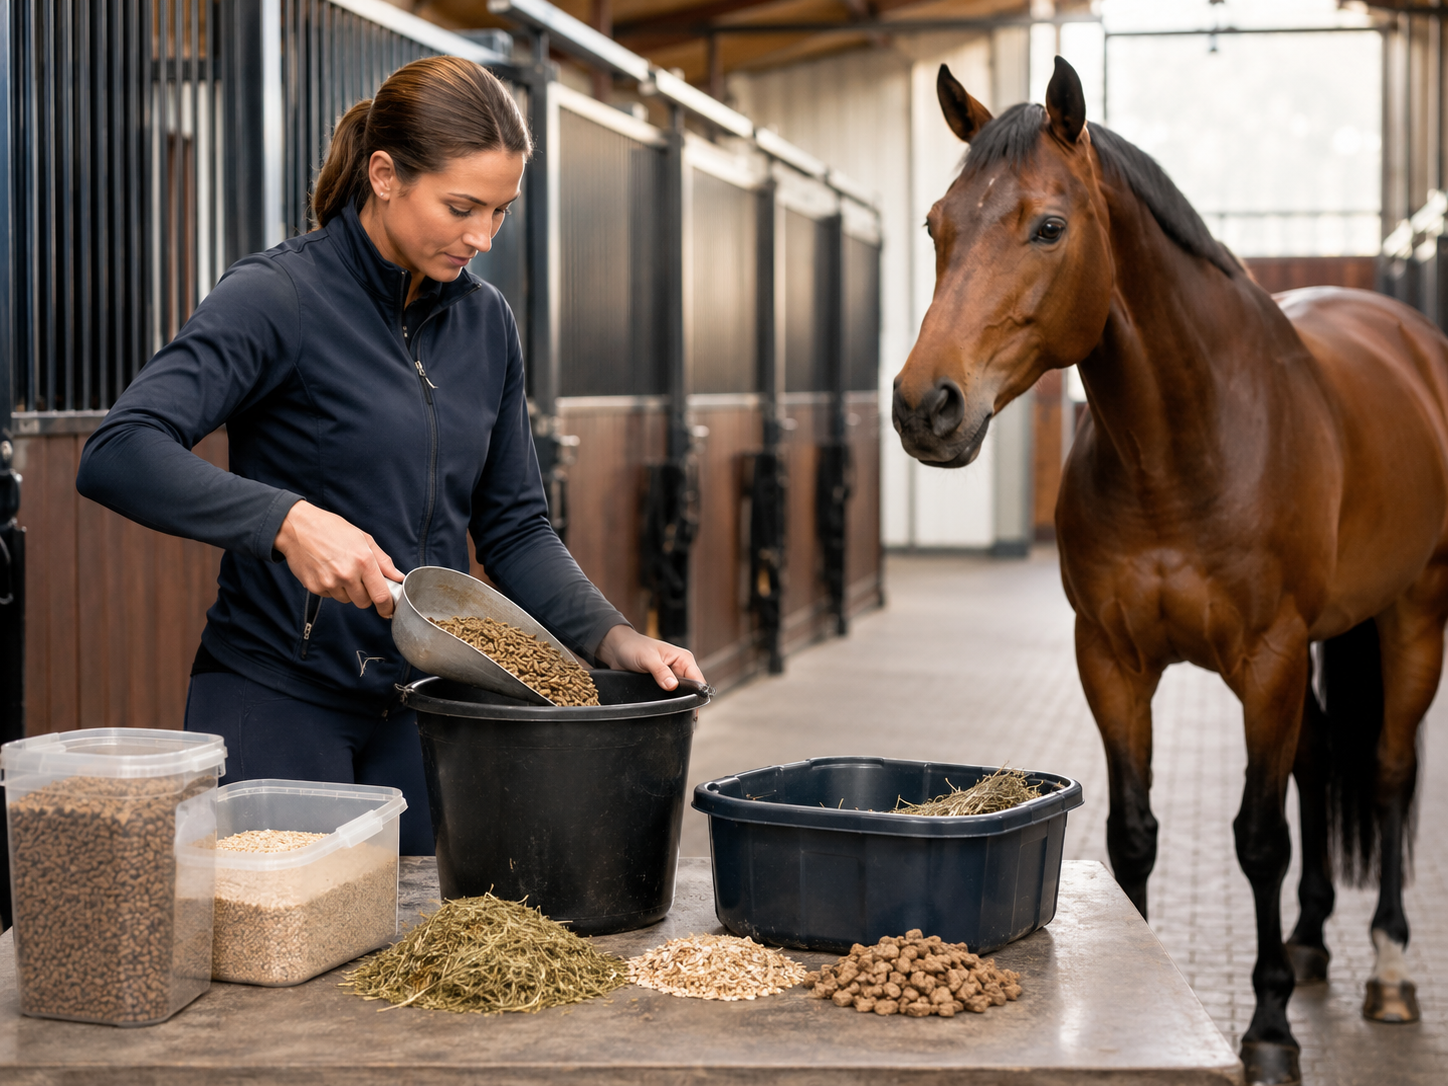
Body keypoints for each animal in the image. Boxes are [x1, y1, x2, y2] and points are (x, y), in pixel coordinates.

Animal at [892, 56, 1447, 1086]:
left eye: (1049, 225)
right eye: (937, 226)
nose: (924, 406)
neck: (1186, 450)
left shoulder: (1267, 661)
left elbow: (1260, 839)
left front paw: (1269, 1030)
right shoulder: (1112, 660)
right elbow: (1133, 833)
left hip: (1412, 616)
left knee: (1390, 774)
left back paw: (1389, 971)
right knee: (1321, 759)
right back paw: (1312, 940)